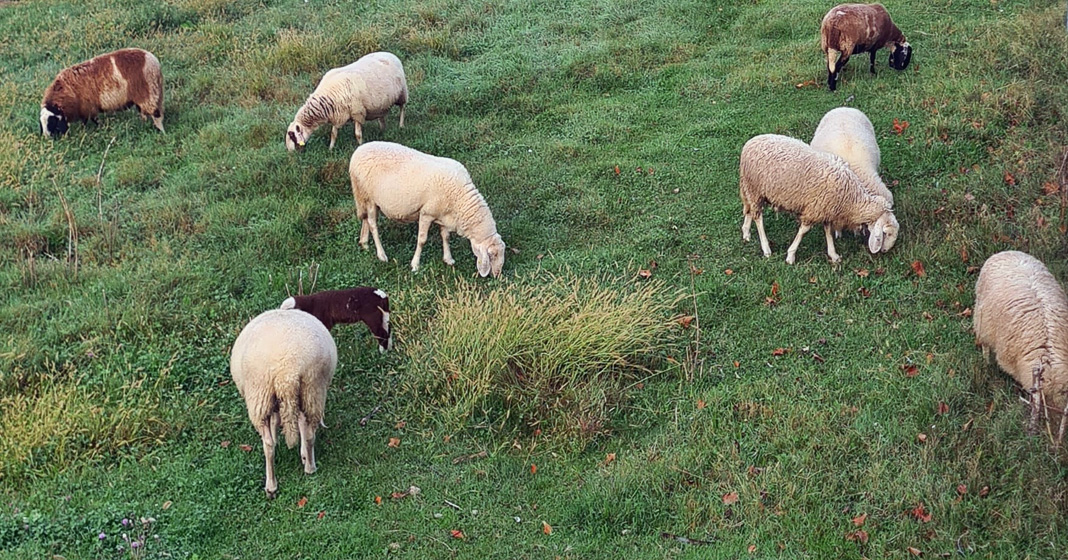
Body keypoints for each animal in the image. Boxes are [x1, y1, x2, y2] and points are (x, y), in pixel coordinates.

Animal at [231, 307, 335, 495]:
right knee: (310, 434)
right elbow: (299, 423)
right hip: (312, 389)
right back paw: (310, 468)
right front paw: (303, 454)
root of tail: (287, 369)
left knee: (268, 444)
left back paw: (271, 486)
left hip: (259, 396)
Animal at [346, 141, 504, 277]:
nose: (497, 275)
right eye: (492, 255)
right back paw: (381, 255)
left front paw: (448, 259)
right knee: (373, 224)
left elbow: (445, 237)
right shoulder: (426, 213)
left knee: (365, 219)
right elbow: (422, 240)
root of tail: (358, 151)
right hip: (368, 196)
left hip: (367, 199)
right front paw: (415, 265)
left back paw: (364, 243)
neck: (461, 201)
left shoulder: (443, 215)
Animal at [739, 133, 897, 265]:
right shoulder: (815, 208)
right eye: (886, 233)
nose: (885, 251)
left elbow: (828, 231)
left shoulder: (826, 209)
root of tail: (749, 144)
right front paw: (791, 255)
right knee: (758, 217)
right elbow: (804, 231)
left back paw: (746, 233)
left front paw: (833, 255)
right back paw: (766, 248)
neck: (852, 198)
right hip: (755, 189)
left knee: (749, 210)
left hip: (750, 188)